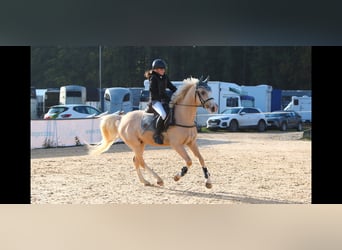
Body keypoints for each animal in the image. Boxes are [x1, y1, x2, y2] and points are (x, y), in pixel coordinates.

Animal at [89, 76, 218, 188]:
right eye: (202, 92)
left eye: (210, 91)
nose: (214, 107)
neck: (183, 116)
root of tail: (122, 118)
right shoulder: (177, 145)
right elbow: (189, 161)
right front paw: (177, 176)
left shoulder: (191, 143)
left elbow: (201, 159)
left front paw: (208, 182)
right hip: (136, 145)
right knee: (140, 161)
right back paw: (158, 180)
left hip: (141, 144)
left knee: (136, 160)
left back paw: (145, 181)